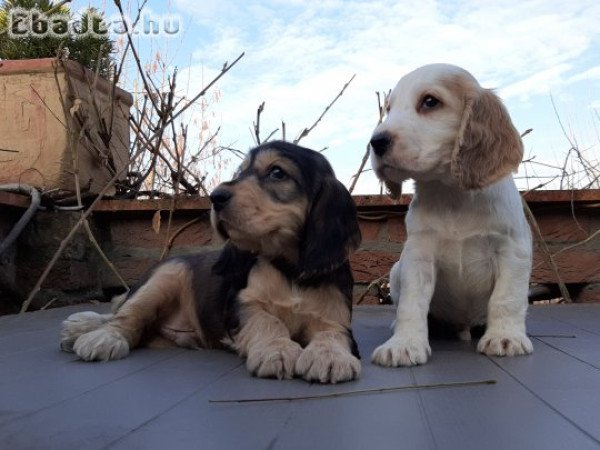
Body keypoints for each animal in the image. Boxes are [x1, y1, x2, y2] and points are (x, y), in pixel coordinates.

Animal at [59, 141, 360, 384]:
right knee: (125, 315)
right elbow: (267, 320)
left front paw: (330, 357)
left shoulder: (335, 317)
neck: (288, 267)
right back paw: (94, 334)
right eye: (239, 174)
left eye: (277, 172)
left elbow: (331, 333)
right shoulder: (240, 305)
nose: (216, 197)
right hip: (164, 278)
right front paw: (278, 349)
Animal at [370, 63, 536, 366]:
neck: (452, 194)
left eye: (430, 102)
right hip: (397, 269)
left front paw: (505, 338)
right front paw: (404, 344)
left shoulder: (512, 249)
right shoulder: (418, 256)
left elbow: (506, 298)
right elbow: (411, 304)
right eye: (389, 108)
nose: (375, 142)